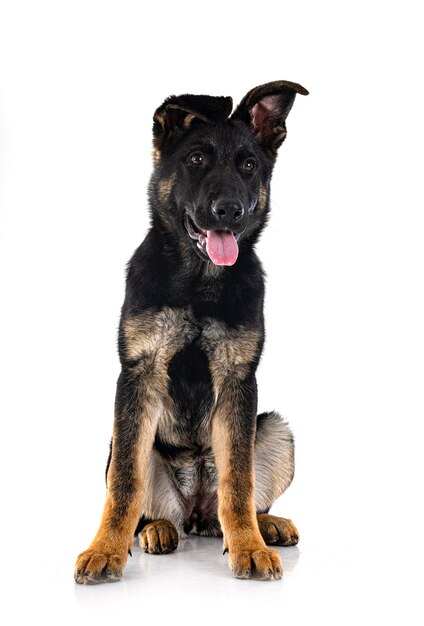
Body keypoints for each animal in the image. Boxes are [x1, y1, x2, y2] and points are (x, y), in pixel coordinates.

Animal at [75, 80, 308, 584]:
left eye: (248, 165)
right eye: (197, 159)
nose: (230, 211)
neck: (199, 282)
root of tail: (196, 511)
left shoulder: (239, 382)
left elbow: (239, 481)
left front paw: (249, 548)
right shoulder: (137, 376)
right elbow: (124, 483)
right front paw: (105, 549)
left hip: (274, 429)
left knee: (239, 498)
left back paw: (266, 525)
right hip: (123, 437)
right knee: (146, 502)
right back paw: (156, 529)